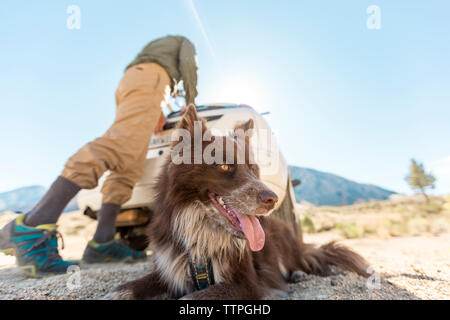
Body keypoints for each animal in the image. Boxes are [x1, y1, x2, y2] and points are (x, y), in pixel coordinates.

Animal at [108, 105, 370, 300]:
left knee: (301, 260)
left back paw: (297, 274)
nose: (272, 200)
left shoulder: (245, 283)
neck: (201, 234)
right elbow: (129, 288)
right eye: (224, 166)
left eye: (253, 169)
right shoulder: (169, 267)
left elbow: (192, 296)